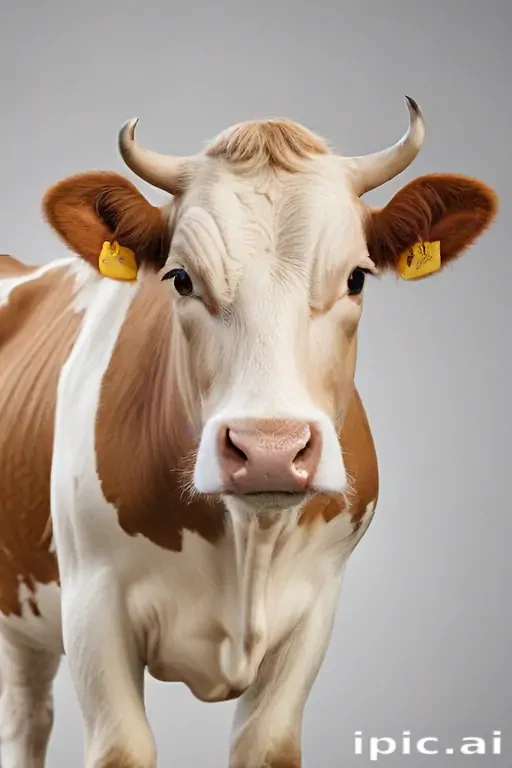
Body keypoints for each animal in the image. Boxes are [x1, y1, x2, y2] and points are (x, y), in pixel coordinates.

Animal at [0, 97, 497, 768]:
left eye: (357, 278)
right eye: (181, 278)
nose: (269, 450)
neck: (246, 545)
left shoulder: (317, 606)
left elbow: (267, 743)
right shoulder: (92, 602)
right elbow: (123, 748)